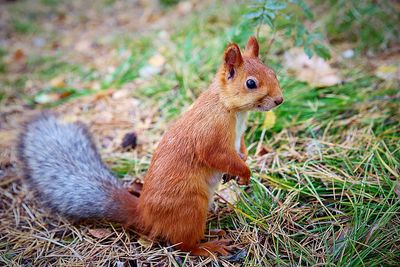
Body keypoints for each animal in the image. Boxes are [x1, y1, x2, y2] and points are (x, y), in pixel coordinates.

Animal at [18, 36, 282, 258]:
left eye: (273, 72)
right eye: (251, 83)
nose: (280, 100)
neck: (231, 110)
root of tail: (144, 214)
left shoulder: (238, 138)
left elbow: (240, 150)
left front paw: (239, 167)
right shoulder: (209, 136)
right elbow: (217, 155)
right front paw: (244, 172)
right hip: (190, 207)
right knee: (183, 244)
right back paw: (209, 246)